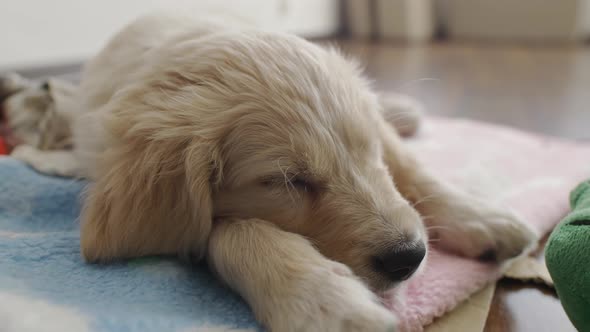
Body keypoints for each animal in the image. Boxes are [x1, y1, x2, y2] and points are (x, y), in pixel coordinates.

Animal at [0, 13, 540, 332]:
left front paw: (480, 217)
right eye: (286, 181)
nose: (409, 257)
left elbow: (408, 166)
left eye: (367, 153)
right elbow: (234, 231)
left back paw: (406, 110)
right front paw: (327, 304)